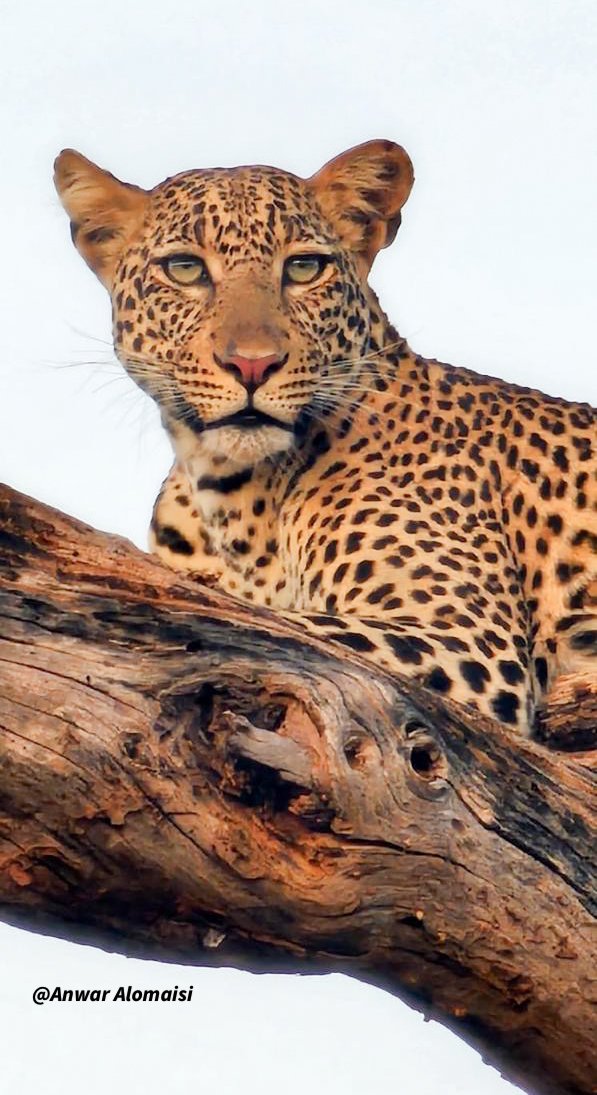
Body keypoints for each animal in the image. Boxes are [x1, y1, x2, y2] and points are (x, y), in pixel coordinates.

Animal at [54, 139, 597, 734]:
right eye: (185, 268)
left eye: (303, 267)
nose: (252, 365)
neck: (236, 503)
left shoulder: (465, 642)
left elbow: (270, 627)